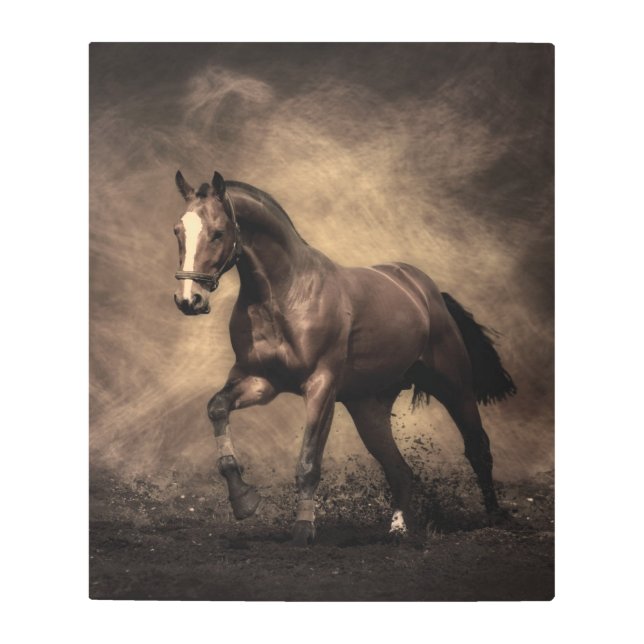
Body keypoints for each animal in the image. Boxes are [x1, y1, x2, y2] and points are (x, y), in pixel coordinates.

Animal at [172, 170, 517, 546]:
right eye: (178, 231)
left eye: (218, 232)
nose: (189, 300)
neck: (285, 295)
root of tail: (427, 293)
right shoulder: (261, 382)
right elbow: (217, 408)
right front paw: (244, 501)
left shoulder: (321, 386)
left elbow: (309, 461)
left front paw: (303, 530)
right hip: (368, 407)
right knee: (399, 469)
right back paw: (400, 529)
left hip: (454, 387)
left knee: (477, 448)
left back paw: (495, 517)